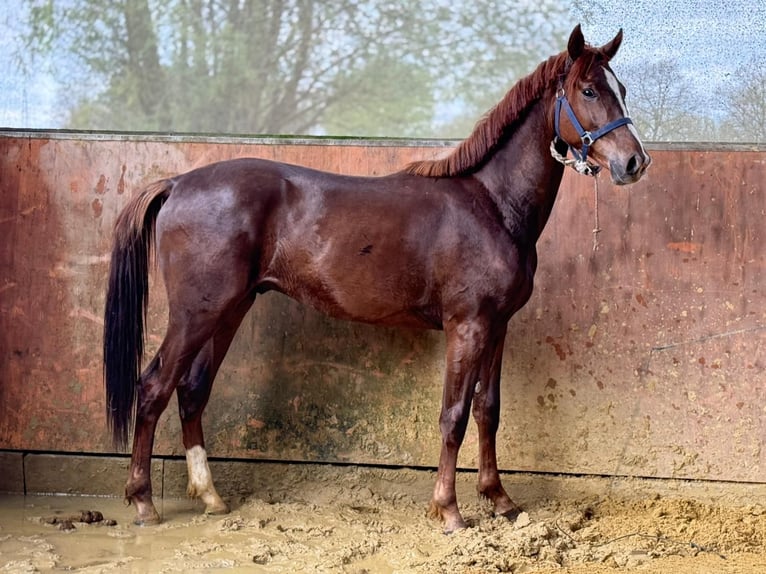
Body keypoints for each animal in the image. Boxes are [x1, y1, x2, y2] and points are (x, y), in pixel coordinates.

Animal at [103, 24, 650, 533]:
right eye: (588, 90)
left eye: (621, 88)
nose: (634, 162)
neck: (491, 204)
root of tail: (178, 183)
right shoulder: (467, 326)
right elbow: (453, 415)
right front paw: (449, 510)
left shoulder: (497, 327)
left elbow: (487, 410)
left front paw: (500, 500)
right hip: (197, 312)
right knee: (153, 387)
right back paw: (143, 501)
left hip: (230, 309)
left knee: (192, 390)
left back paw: (211, 496)